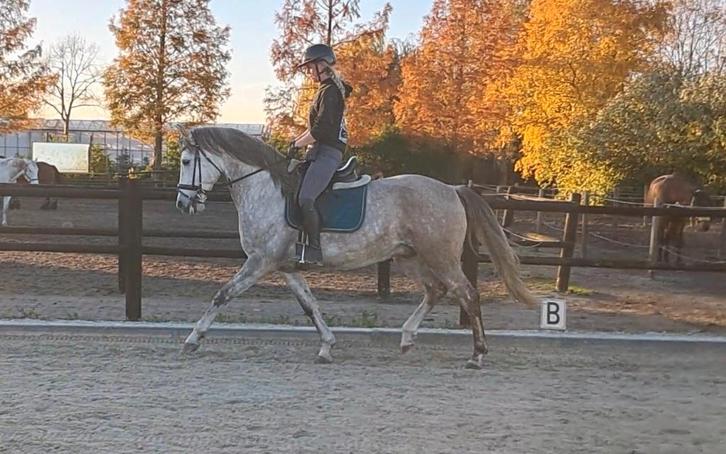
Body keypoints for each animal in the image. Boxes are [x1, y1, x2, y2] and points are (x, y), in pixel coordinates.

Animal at [175, 127, 538, 369]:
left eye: (186, 161)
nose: (183, 204)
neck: (266, 189)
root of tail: (452, 189)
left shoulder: (260, 262)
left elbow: (222, 294)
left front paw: (192, 339)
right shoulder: (284, 266)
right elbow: (310, 306)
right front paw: (326, 346)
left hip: (441, 257)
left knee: (467, 294)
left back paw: (477, 354)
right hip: (411, 257)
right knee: (436, 291)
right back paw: (407, 338)